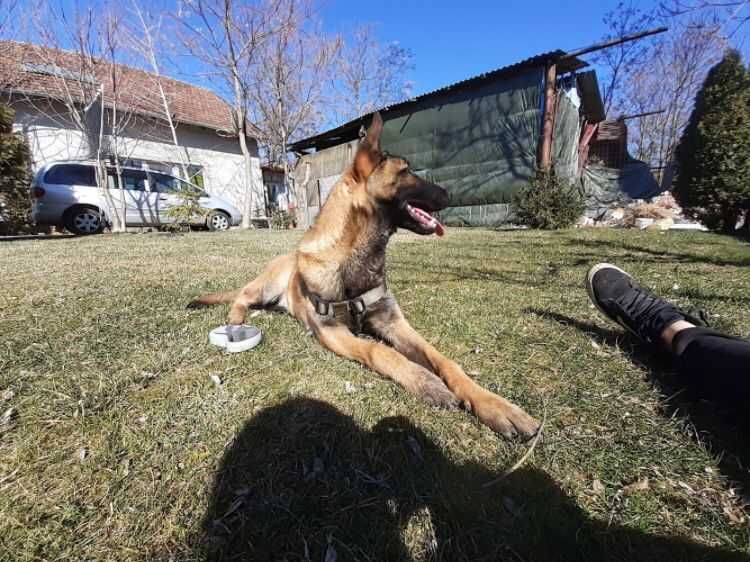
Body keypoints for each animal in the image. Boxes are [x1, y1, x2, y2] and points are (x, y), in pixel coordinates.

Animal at [188, 112, 540, 438]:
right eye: (406, 170)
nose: (450, 193)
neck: (355, 255)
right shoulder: (333, 332)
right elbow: (379, 350)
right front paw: (426, 382)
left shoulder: (393, 322)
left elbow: (443, 359)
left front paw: (494, 404)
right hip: (266, 284)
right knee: (241, 297)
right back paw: (236, 320)